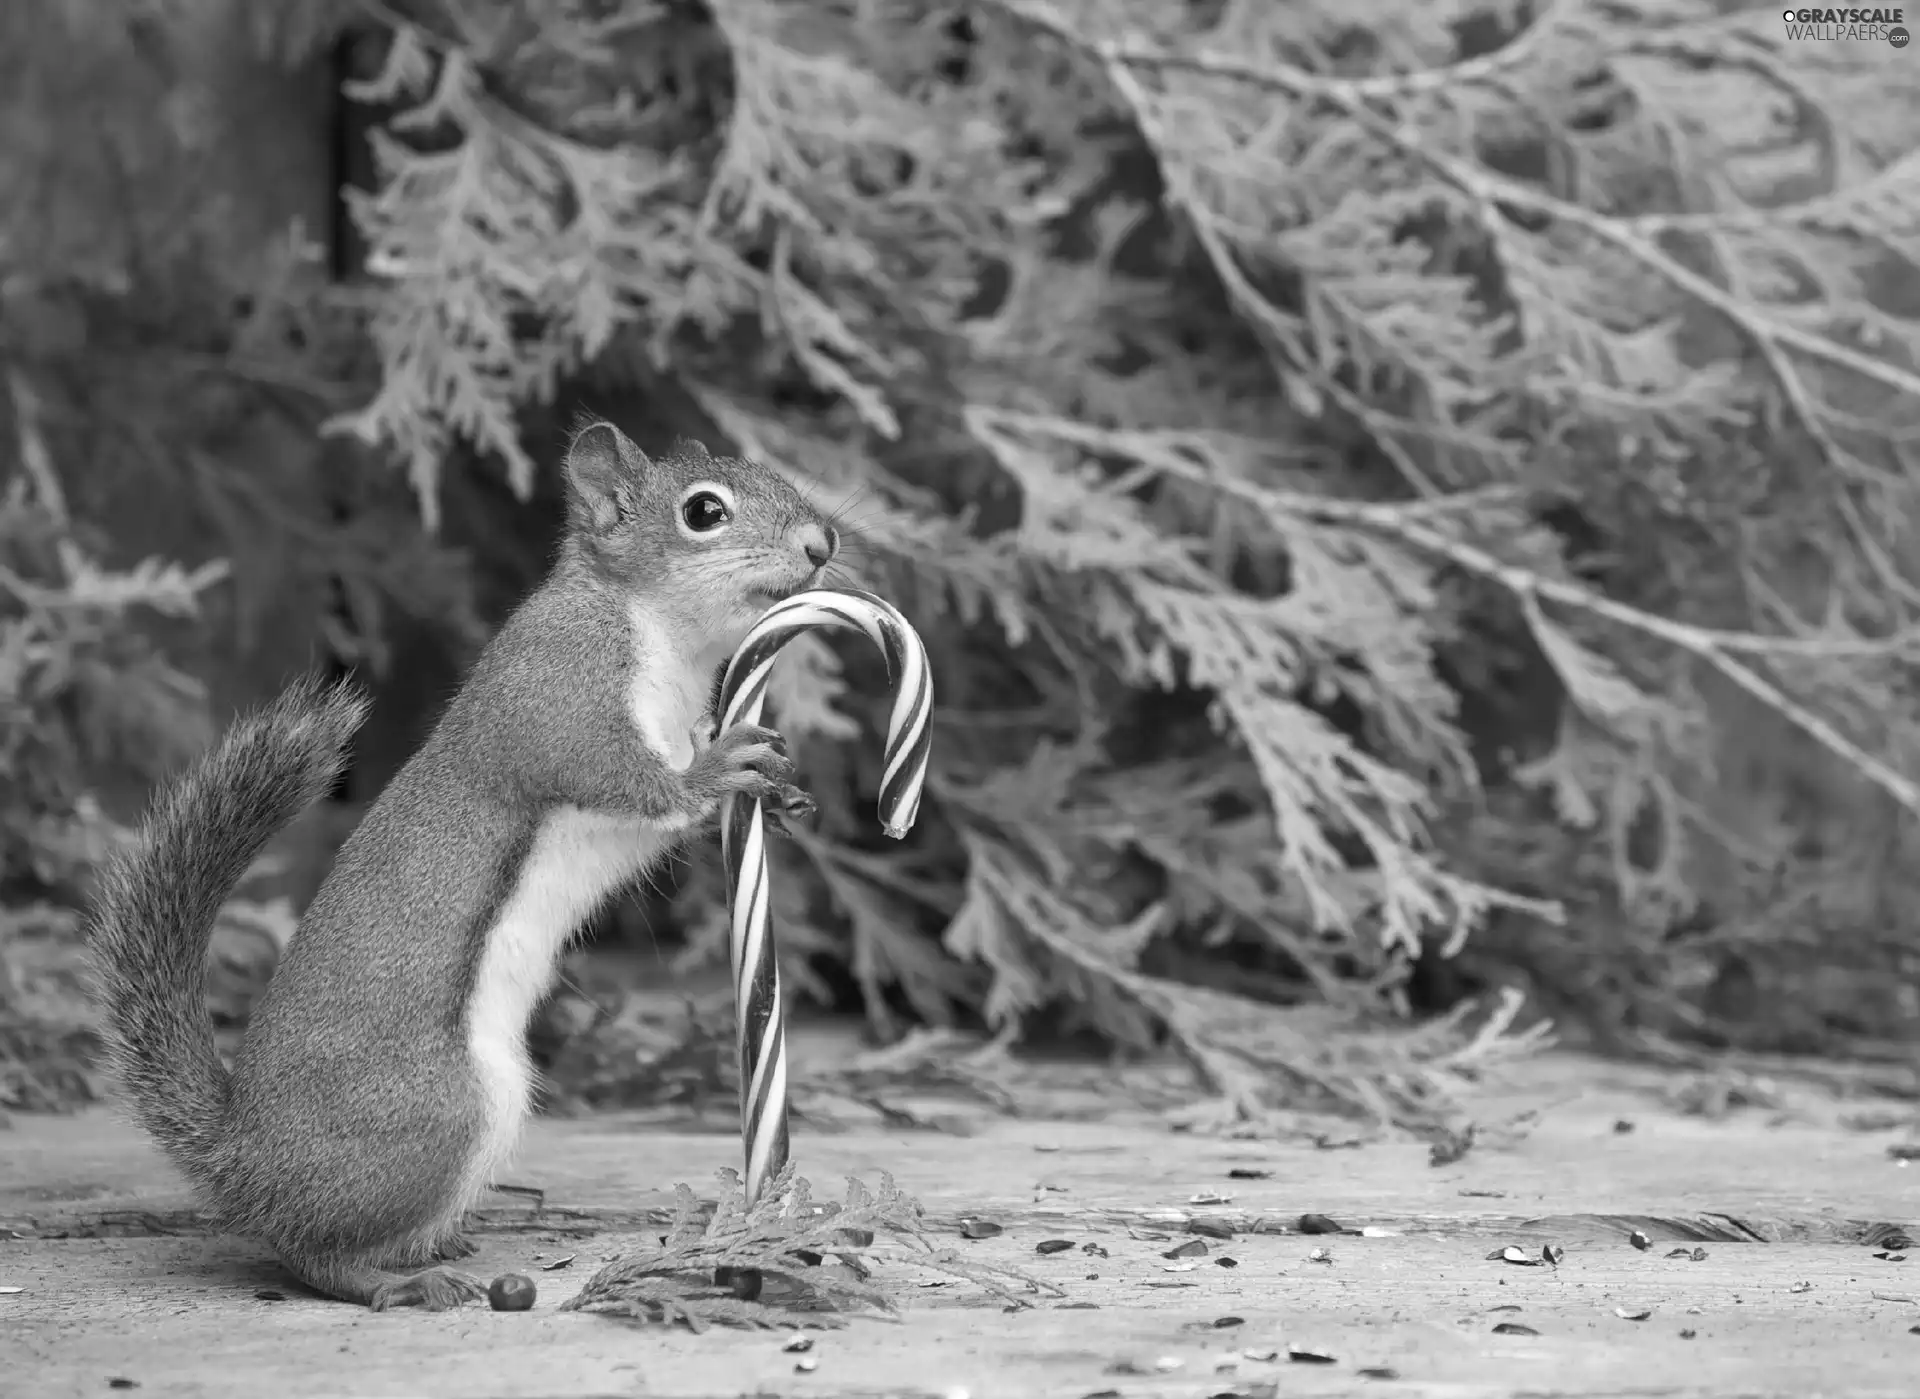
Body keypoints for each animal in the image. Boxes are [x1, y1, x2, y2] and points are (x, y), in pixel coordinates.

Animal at [88, 422, 840, 1312]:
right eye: (704, 512)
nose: (822, 544)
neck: (654, 627)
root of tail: (240, 1159)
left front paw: (782, 793)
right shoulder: (562, 692)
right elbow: (624, 776)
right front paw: (723, 768)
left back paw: (433, 1244)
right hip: (442, 1108)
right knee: (307, 1252)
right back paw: (395, 1280)